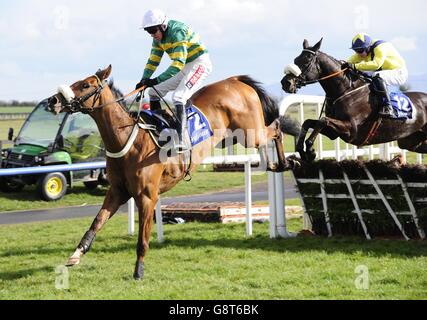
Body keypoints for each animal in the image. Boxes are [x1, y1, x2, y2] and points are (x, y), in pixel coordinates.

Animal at [46, 65, 300, 280]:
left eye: (86, 85)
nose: (53, 100)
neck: (128, 139)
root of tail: (235, 80)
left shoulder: (147, 197)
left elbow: (142, 239)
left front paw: (138, 271)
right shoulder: (117, 192)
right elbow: (96, 223)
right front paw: (76, 254)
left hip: (249, 131)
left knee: (276, 128)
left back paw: (285, 162)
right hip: (237, 136)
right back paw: (274, 164)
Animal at [280, 38, 427, 161]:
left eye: (306, 61)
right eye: (295, 60)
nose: (286, 83)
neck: (346, 90)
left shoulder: (351, 129)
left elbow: (323, 120)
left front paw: (310, 151)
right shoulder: (334, 133)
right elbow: (308, 122)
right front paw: (302, 150)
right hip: (410, 141)